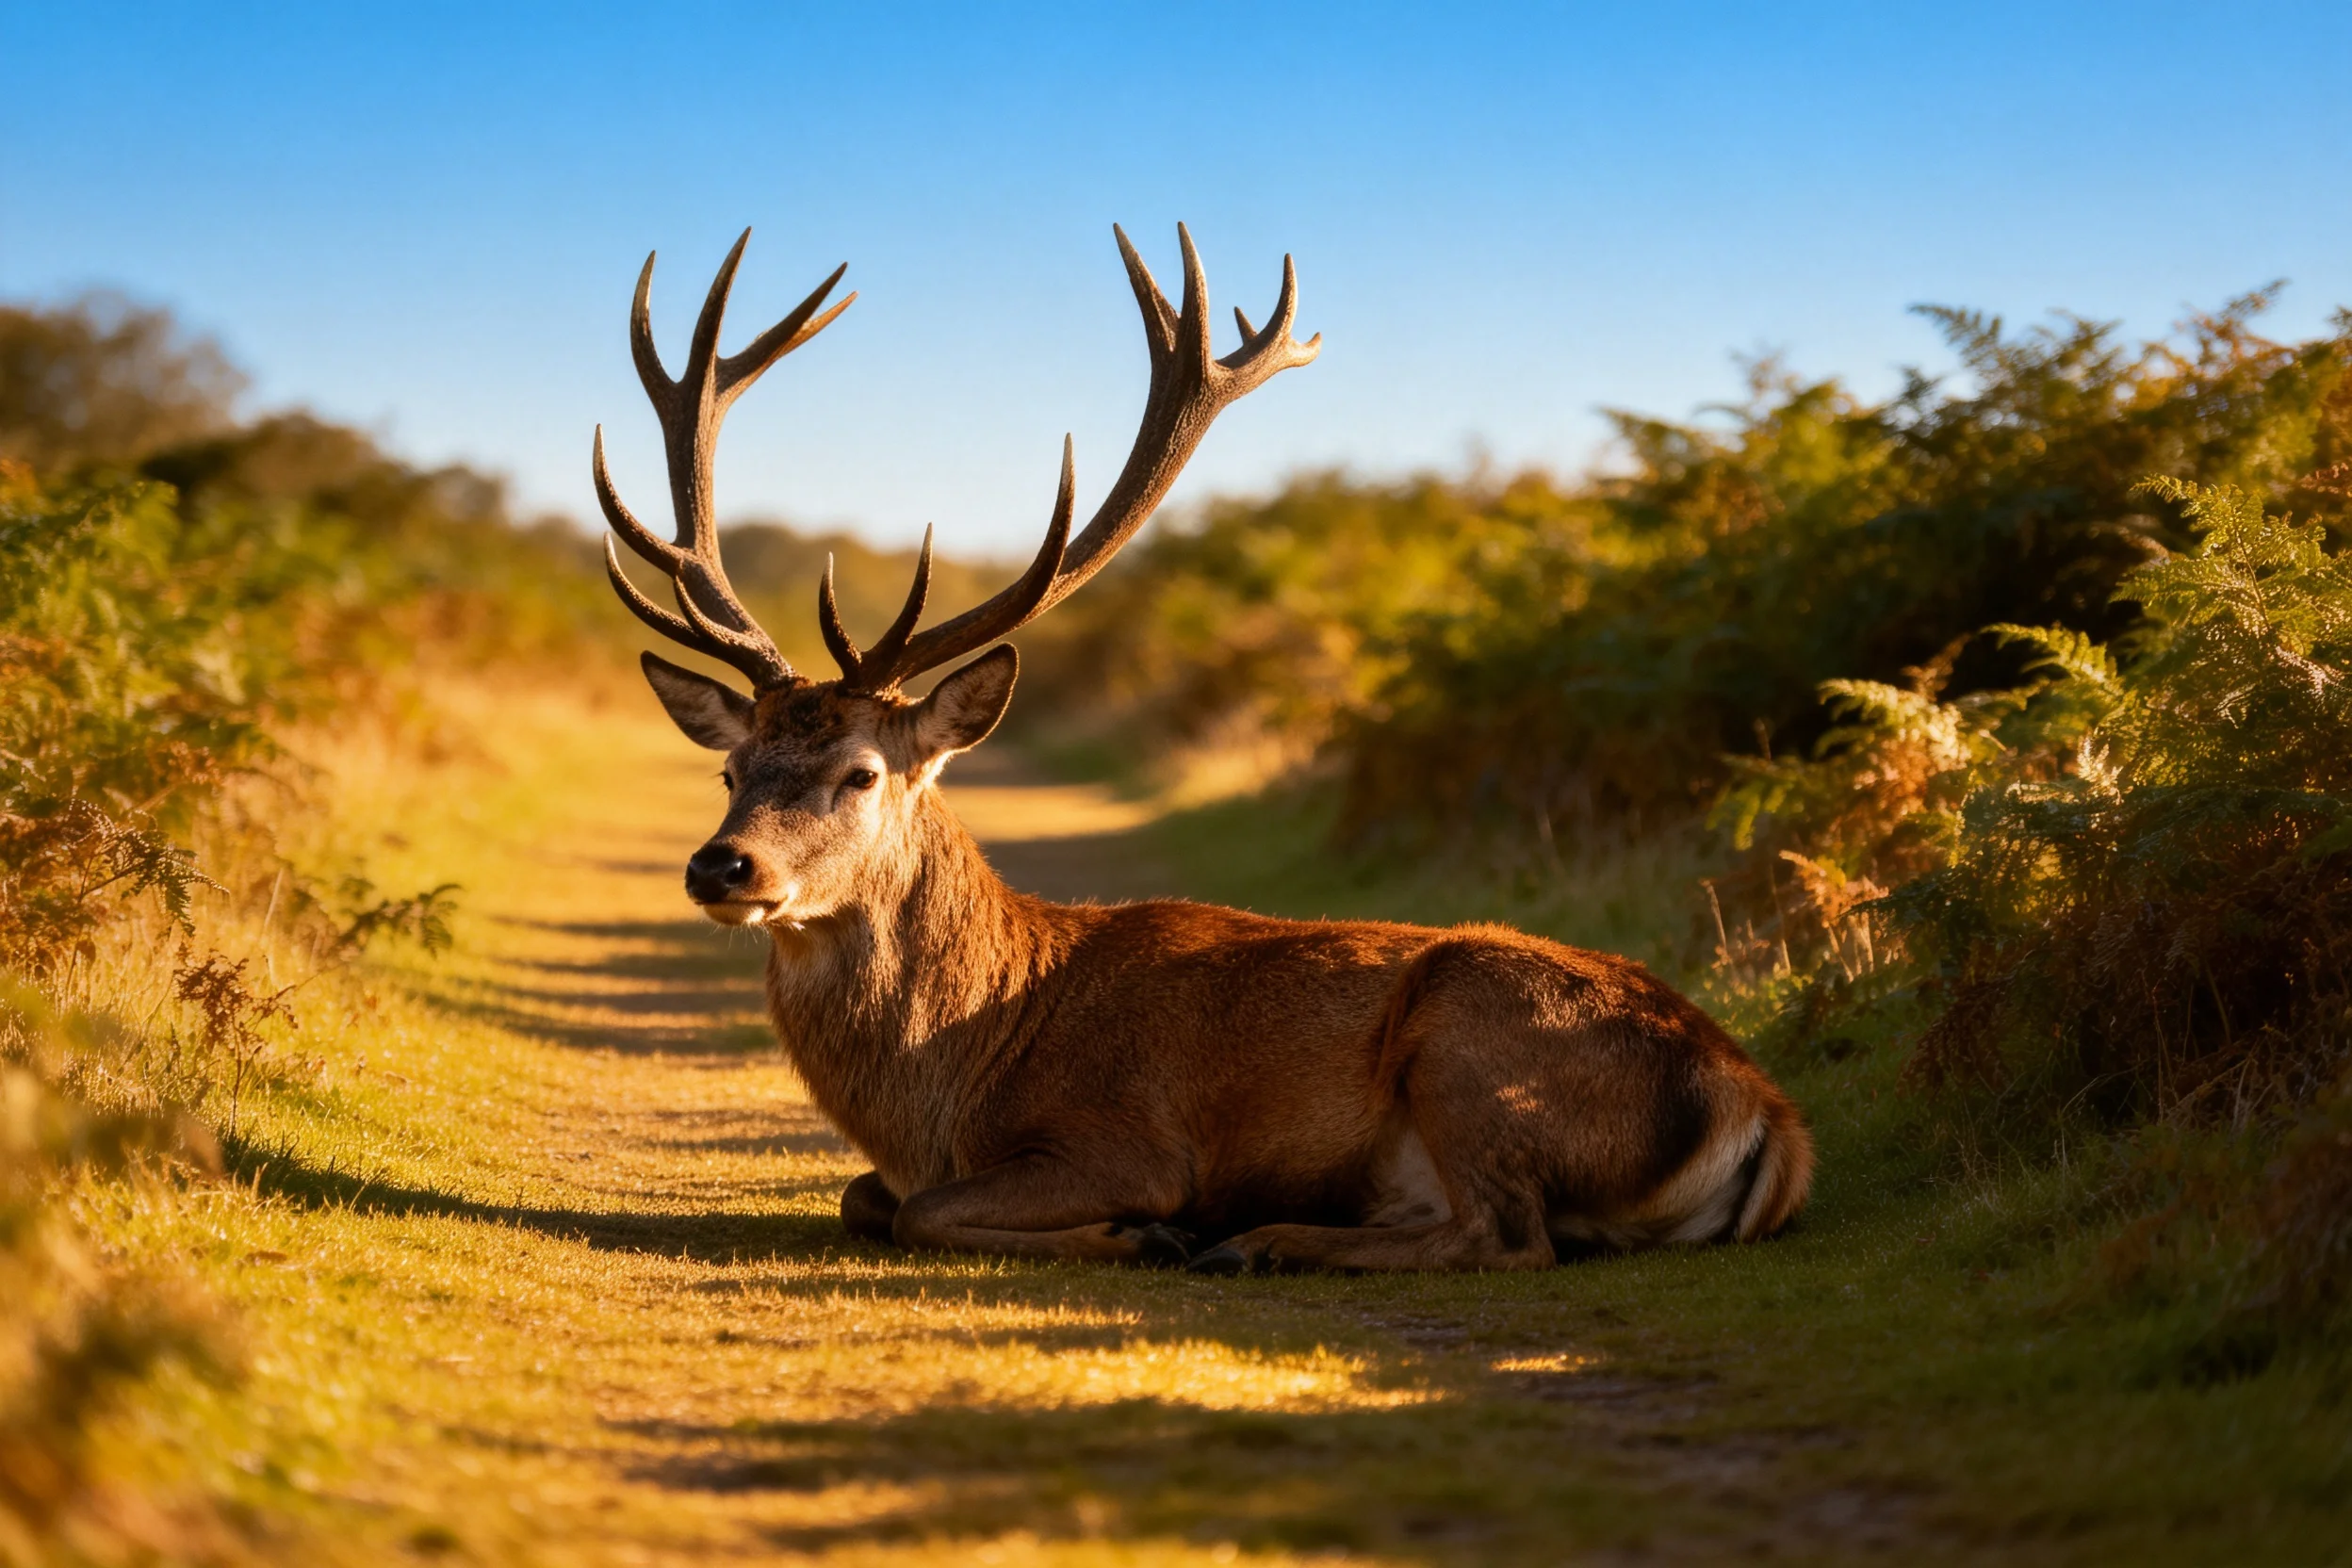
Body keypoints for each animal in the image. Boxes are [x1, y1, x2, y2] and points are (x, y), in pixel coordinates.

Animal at [592, 225, 1813, 1273]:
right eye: (731, 768)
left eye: (862, 771)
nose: (722, 864)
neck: (956, 1076)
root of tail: (1767, 1107)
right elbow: (864, 1197)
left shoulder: (1125, 1135)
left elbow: (921, 1210)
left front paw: (1145, 1230)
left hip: (1473, 1033)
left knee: (1509, 1235)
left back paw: (1251, 1239)